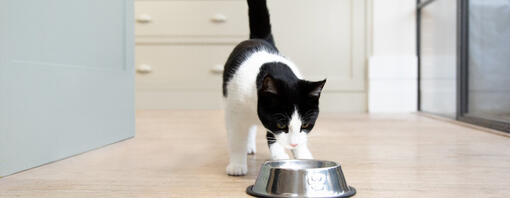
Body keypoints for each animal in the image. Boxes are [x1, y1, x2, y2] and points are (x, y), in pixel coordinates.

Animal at [221, 0, 324, 176]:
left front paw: (302, 155)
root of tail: (258, 39)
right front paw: (236, 165)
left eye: (305, 125)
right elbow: (236, 138)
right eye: (281, 124)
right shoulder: (235, 110)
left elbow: (279, 136)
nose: (293, 144)